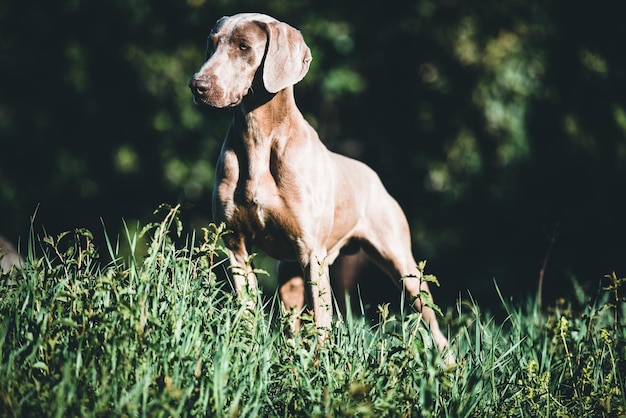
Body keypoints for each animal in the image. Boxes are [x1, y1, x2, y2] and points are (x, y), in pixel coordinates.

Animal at [190, 13, 448, 352]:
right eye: (211, 43)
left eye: (244, 46)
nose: (197, 85)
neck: (258, 139)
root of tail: (373, 174)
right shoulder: (236, 245)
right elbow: (247, 308)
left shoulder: (312, 251)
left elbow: (321, 319)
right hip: (289, 271)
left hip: (402, 263)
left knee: (432, 322)